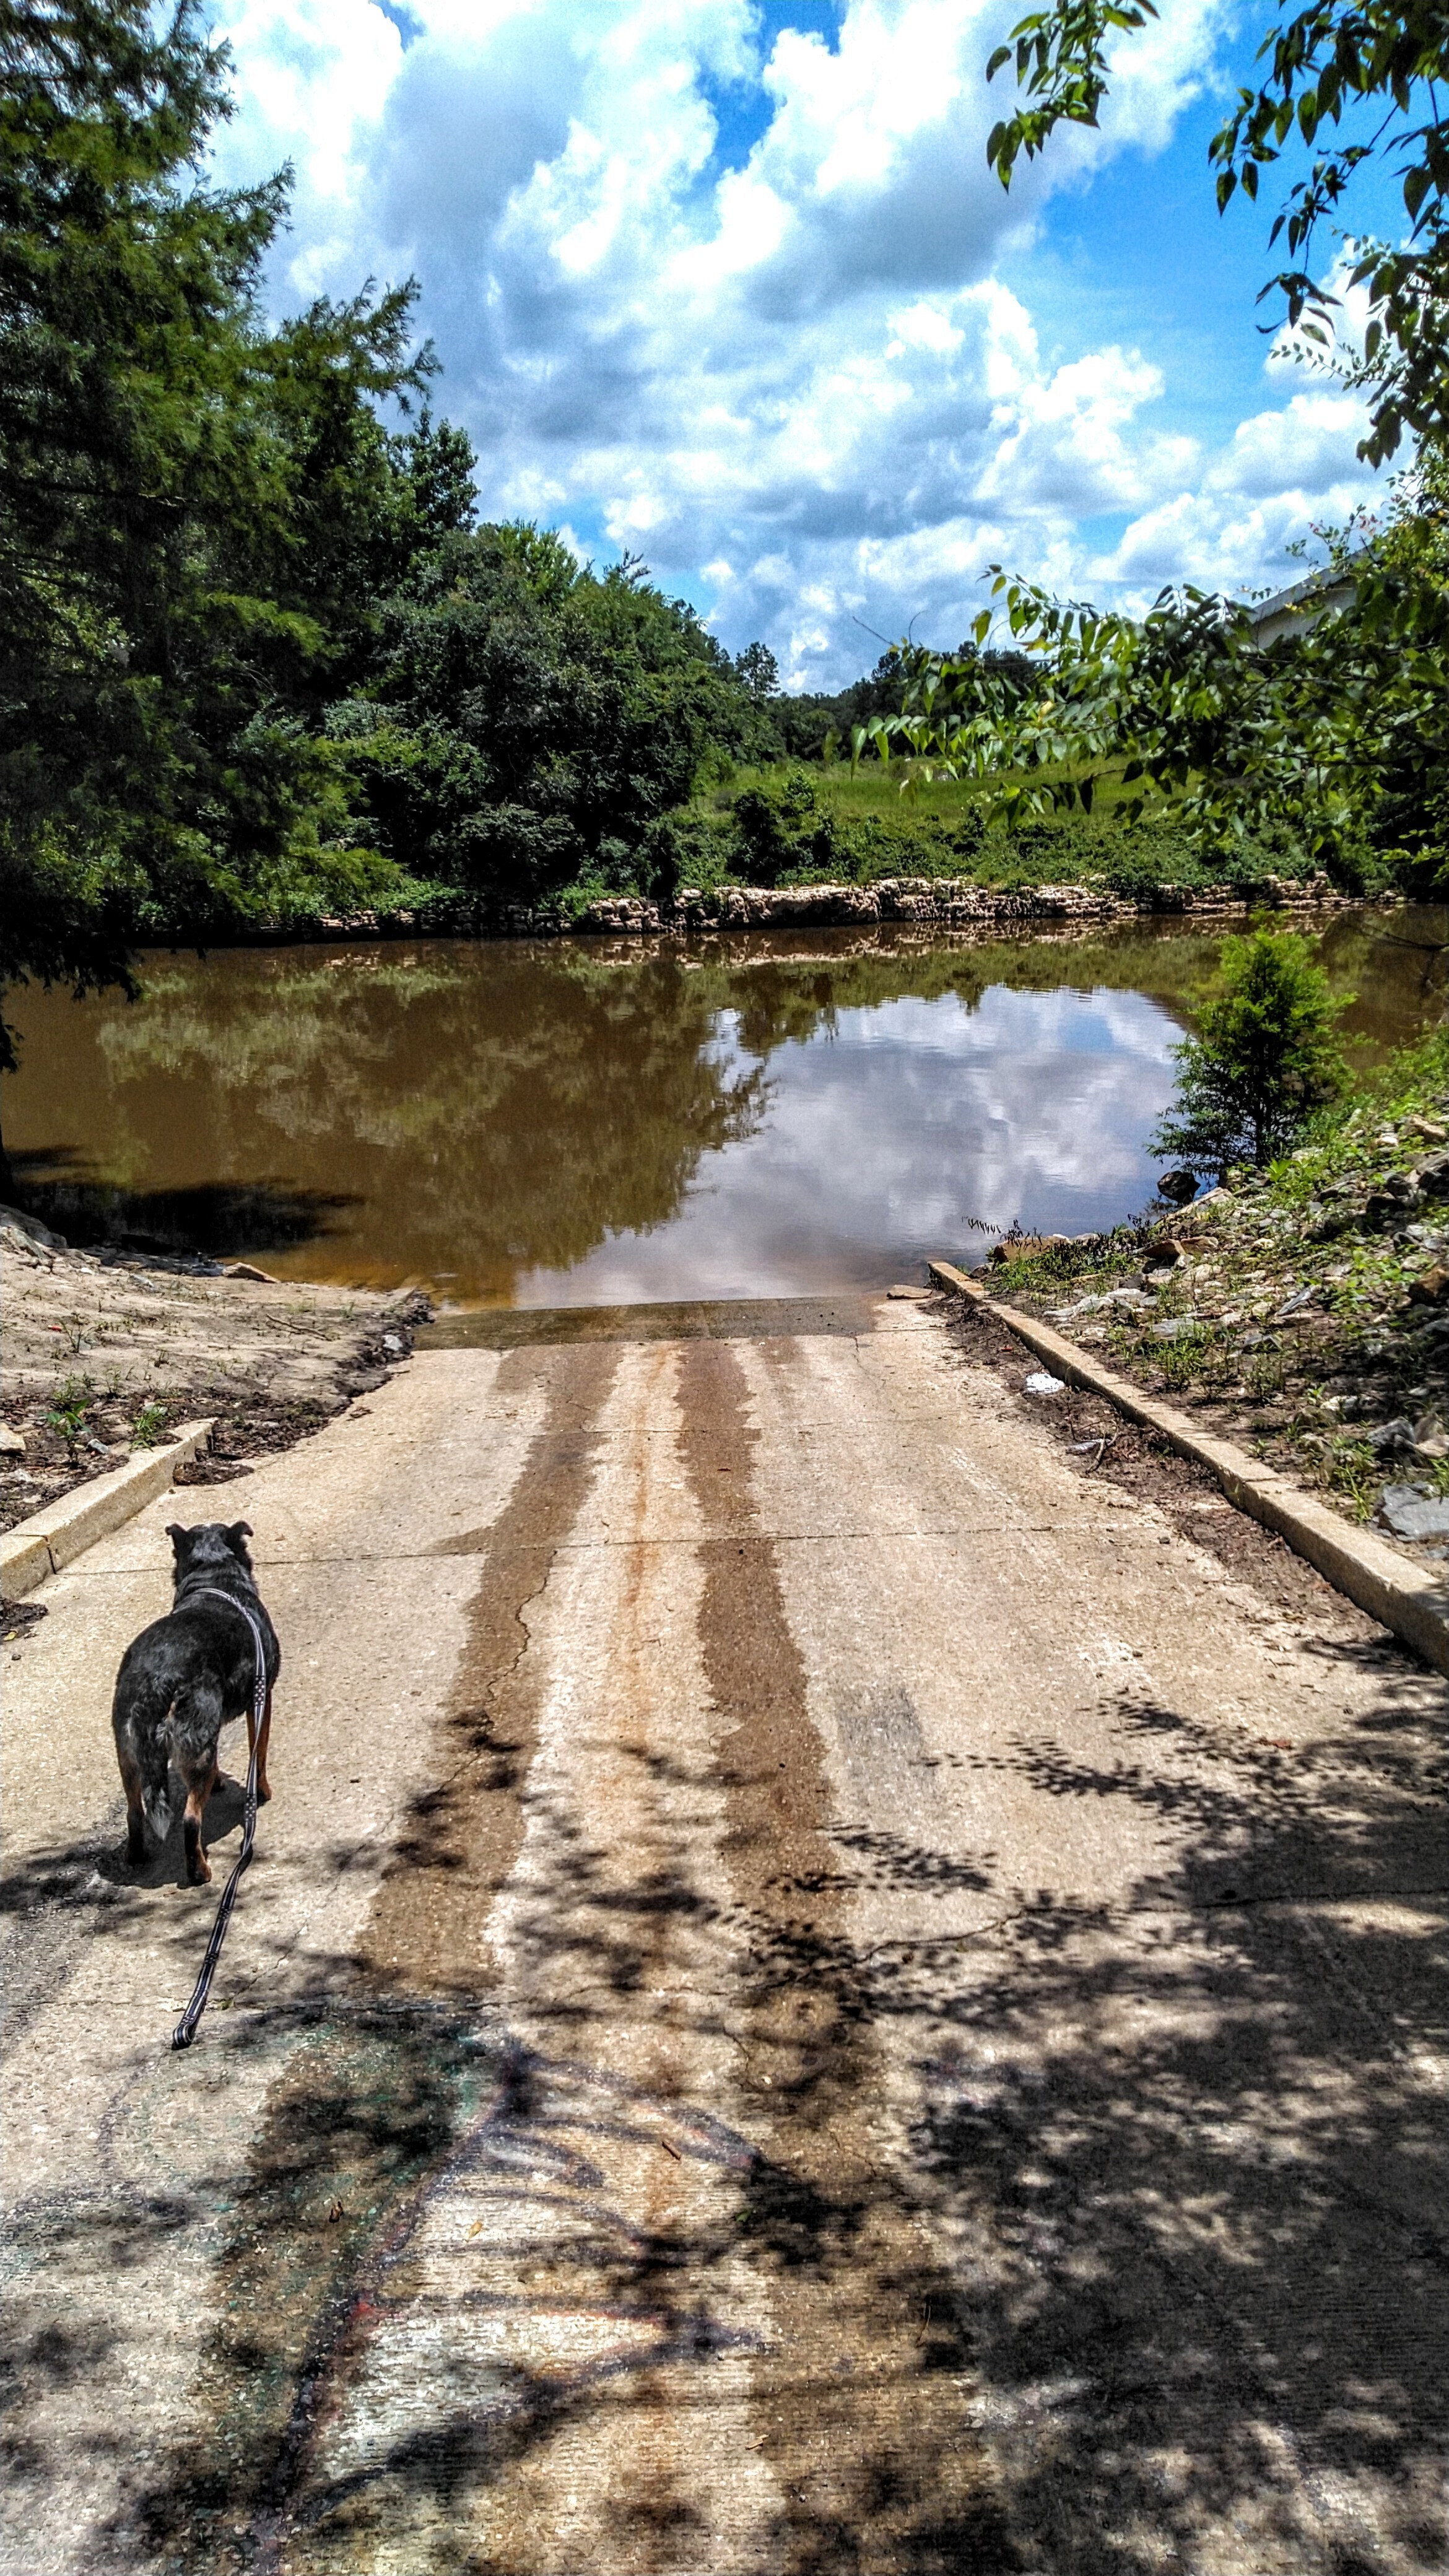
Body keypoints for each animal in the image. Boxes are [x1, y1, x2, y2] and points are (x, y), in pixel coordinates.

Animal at [113, 1515, 279, 1886]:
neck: (215, 1581)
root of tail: (155, 1681)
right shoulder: (261, 1700)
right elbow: (259, 1754)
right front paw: (262, 1793)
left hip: (128, 1754)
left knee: (135, 1812)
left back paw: (136, 1856)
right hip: (197, 1741)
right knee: (191, 1820)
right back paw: (200, 1870)